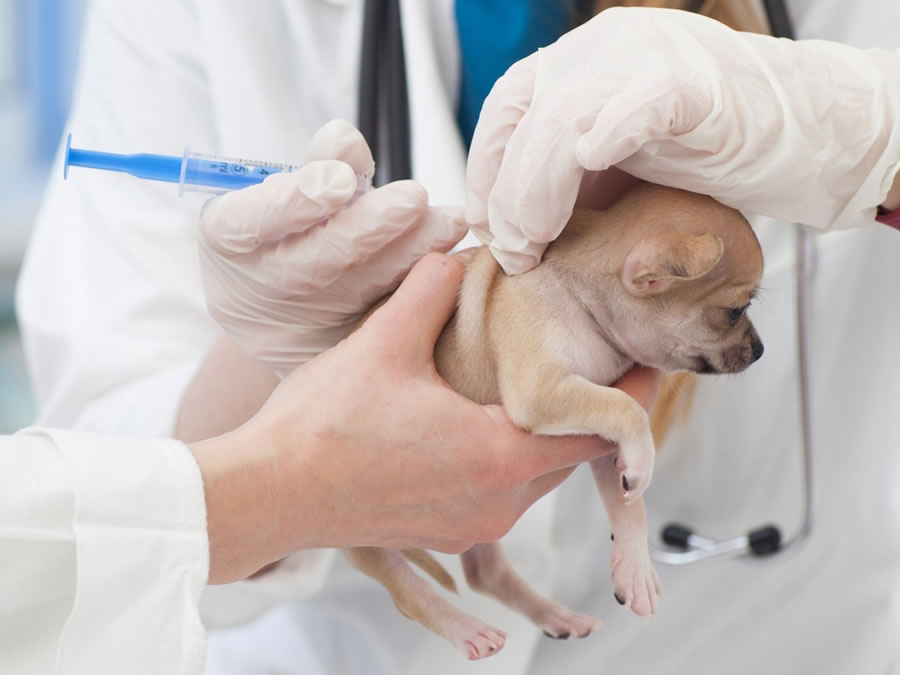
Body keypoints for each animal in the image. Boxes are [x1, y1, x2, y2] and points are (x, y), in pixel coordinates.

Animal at [342, 184, 760, 660]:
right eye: (735, 311)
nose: (761, 349)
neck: (580, 299)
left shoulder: (602, 443)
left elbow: (627, 504)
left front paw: (635, 568)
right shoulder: (544, 393)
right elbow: (628, 411)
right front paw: (644, 465)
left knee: (485, 574)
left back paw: (557, 617)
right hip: (368, 542)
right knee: (410, 597)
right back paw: (467, 630)